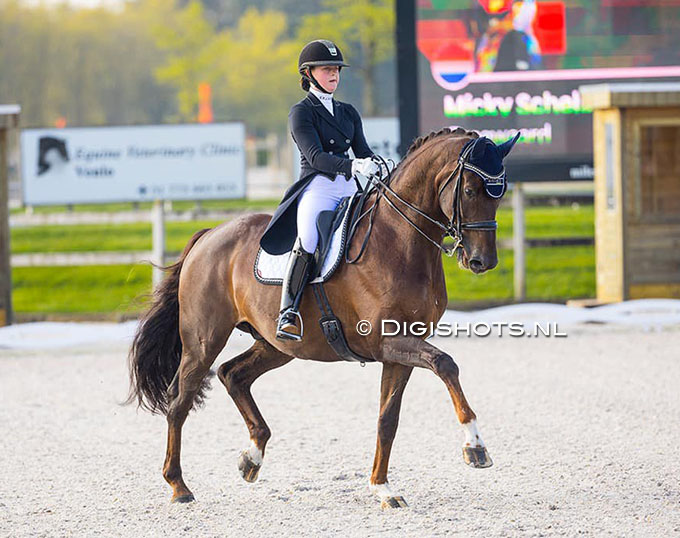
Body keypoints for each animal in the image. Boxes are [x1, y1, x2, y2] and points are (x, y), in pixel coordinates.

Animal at [126, 125, 510, 506]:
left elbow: (388, 419)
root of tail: (209, 235)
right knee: (180, 401)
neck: (400, 241)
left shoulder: (400, 349)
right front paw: (475, 447)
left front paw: (382, 487)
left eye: (500, 193)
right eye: (470, 190)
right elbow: (446, 364)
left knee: (232, 374)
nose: (482, 261)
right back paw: (179, 485)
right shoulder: (388, 342)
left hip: (277, 345)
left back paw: (252, 458)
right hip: (204, 340)